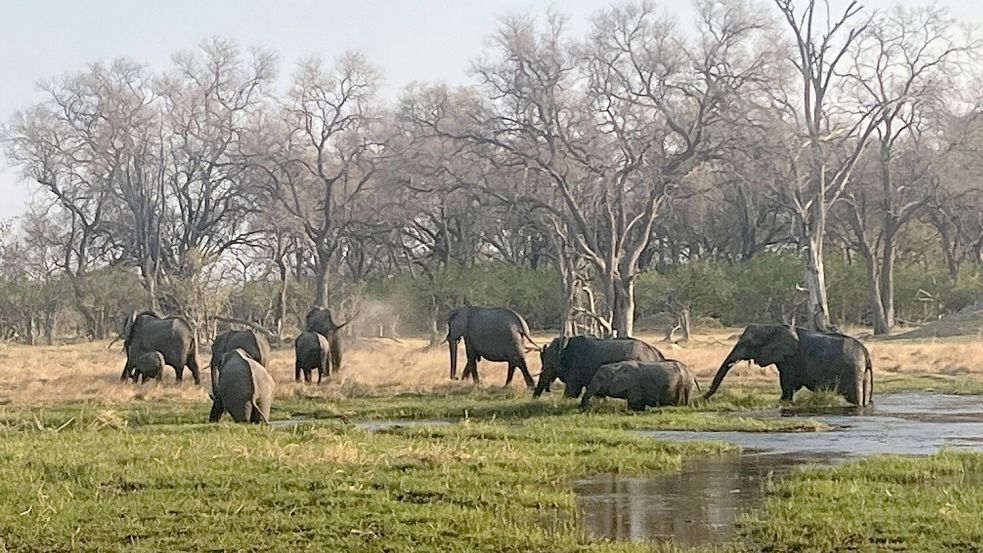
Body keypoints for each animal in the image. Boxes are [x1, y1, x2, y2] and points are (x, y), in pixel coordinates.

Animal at [536, 334, 664, 398]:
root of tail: (657, 354)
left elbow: (572, 392)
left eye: (548, 363)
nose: (534, 400)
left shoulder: (576, 367)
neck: (566, 342)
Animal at [704, 324, 872, 406]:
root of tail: (866, 353)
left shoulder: (790, 359)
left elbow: (788, 383)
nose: (702, 399)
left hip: (853, 370)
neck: (773, 327)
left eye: (748, 343)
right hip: (861, 373)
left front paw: (784, 402)